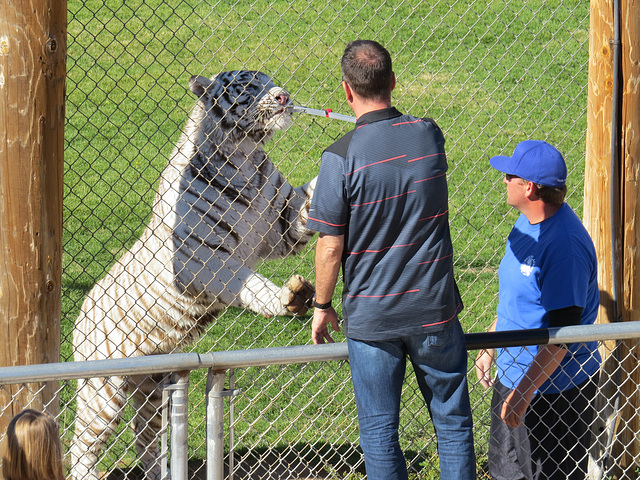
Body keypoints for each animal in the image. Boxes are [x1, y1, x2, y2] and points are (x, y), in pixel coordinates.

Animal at [71, 71, 316, 480]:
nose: (283, 96)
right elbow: (246, 281)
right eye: (247, 85)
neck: (246, 156)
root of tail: (80, 312)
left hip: (151, 387)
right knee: (82, 448)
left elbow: (311, 198)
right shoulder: (202, 260)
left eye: (270, 79)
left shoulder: (285, 221)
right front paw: (289, 296)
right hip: (103, 392)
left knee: (145, 436)